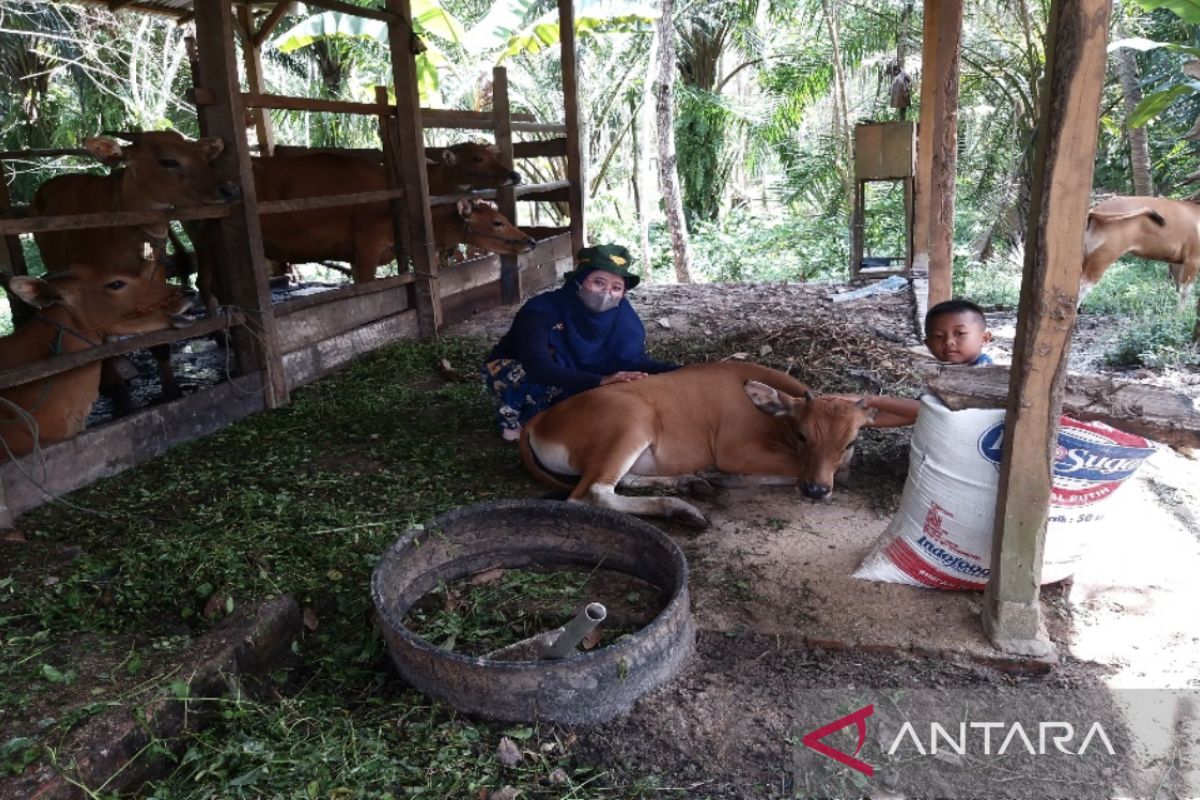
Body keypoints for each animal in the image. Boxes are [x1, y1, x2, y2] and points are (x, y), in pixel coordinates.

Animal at [32, 130, 241, 412]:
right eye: (168, 161)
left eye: (203, 155)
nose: (229, 189)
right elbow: (101, 345)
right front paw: (122, 400)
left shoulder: (157, 284)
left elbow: (161, 341)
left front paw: (172, 391)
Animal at [520, 362, 888, 525]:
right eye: (802, 434)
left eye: (851, 441)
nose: (816, 490)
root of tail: (540, 418)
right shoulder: (734, 450)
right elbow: (801, 467)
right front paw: (729, 478)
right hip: (629, 422)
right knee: (590, 494)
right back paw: (680, 508)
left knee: (623, 481)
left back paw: (689, 482)